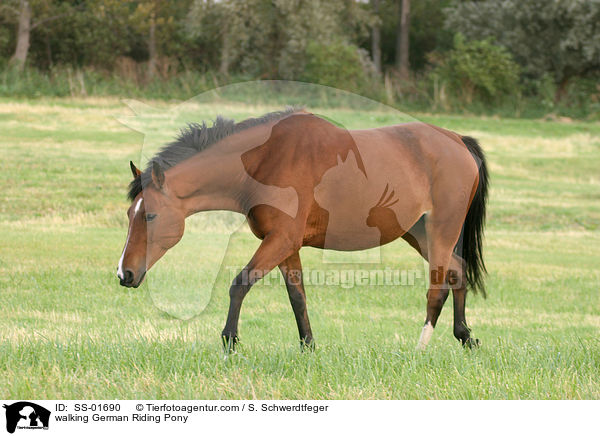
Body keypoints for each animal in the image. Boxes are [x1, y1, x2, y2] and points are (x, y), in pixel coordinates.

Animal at [118, 109, 488, 350]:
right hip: (418, 232)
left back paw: (420, 348)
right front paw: (308, 345)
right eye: (129, 214)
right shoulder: (286, 244)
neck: (266, 159)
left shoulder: (280, 239)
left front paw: (230, 341)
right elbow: (297, 296)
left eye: (150, 216)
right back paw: (465, 337)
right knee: (457, 273)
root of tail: (456, 140)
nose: (124, 274)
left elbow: (239, 284)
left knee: (438, 287)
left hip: (441, 229)